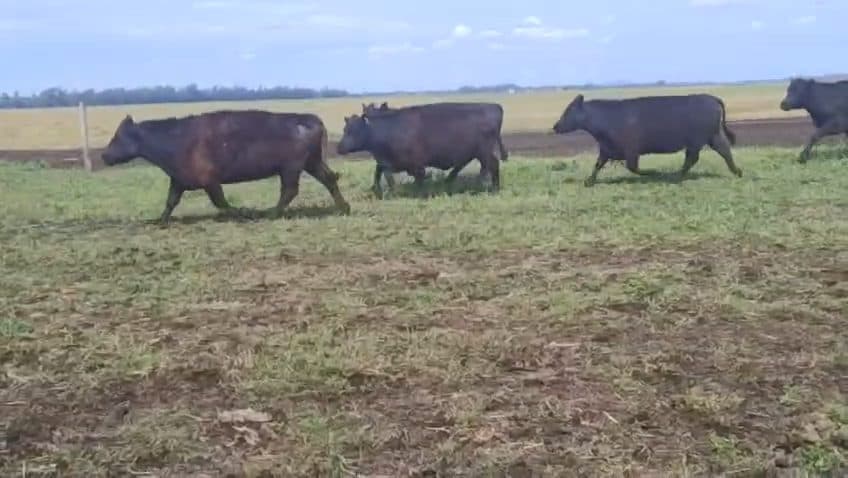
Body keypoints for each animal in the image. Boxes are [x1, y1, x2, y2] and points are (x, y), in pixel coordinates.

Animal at [100, 110, 350, 223]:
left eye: (117, 137)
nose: (103, 155)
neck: (173, 139)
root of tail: (311, 119)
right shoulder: (178, 180)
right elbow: (171, 201)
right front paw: (160, 220)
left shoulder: (210, 180)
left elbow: (220, 202)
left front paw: (244, 212)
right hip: (312, 162)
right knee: (329, 179)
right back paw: (344, 208)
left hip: (291, 167)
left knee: (289, 190)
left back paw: (270, 213)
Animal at [338, 102, 509, 198]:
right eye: (345, 129)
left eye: (353, 130)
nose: (338, 147)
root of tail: (494, 106)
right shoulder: (387, 162)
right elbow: (379, 172)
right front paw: (377, 189)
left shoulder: (415, 163)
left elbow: (414, 177)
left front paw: (411, 192)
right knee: (480, 168)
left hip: (485, 152)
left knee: (492, 166)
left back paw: (493, 189)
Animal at [552, 94, 743, 187]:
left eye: (569, 110)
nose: (555, 126)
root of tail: (712, 98)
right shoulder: (606, 149)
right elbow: (598, 165)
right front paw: (588, 181)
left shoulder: (631, 150)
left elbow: (633, 168)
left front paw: (653, 172)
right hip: (713, 136)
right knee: (724, 151)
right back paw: (737, 172)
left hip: (698, 140)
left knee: (694, 158)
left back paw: (675, 176)